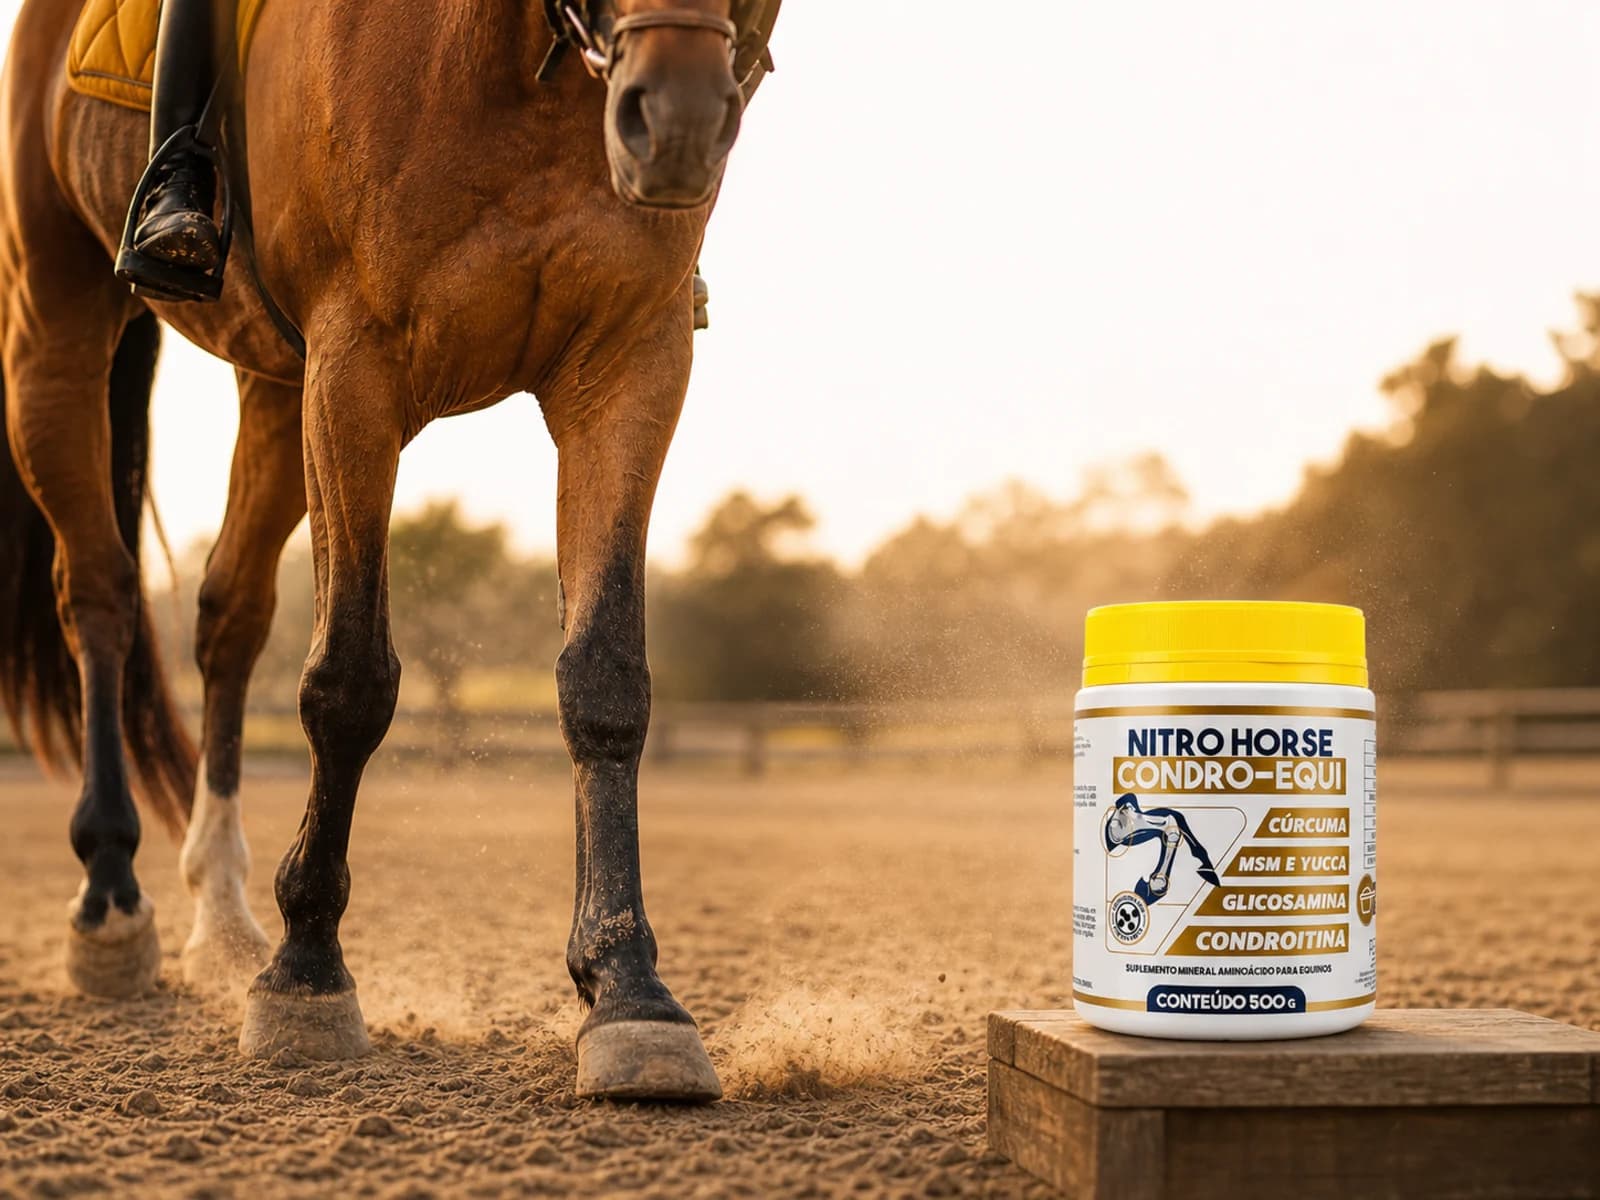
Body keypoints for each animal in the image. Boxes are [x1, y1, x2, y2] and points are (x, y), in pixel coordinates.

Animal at [0, 0, 778, 1101]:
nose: (675, 119)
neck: (517, 68)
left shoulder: (630, 363)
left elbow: (605, 680)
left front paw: (630, 995)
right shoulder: (357, 367)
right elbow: (349, 681)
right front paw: (307, 974)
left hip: (275, 388)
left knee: (229, 620)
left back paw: (222, 918)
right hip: (56, 331)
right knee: (101, 598)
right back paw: (112, 899)